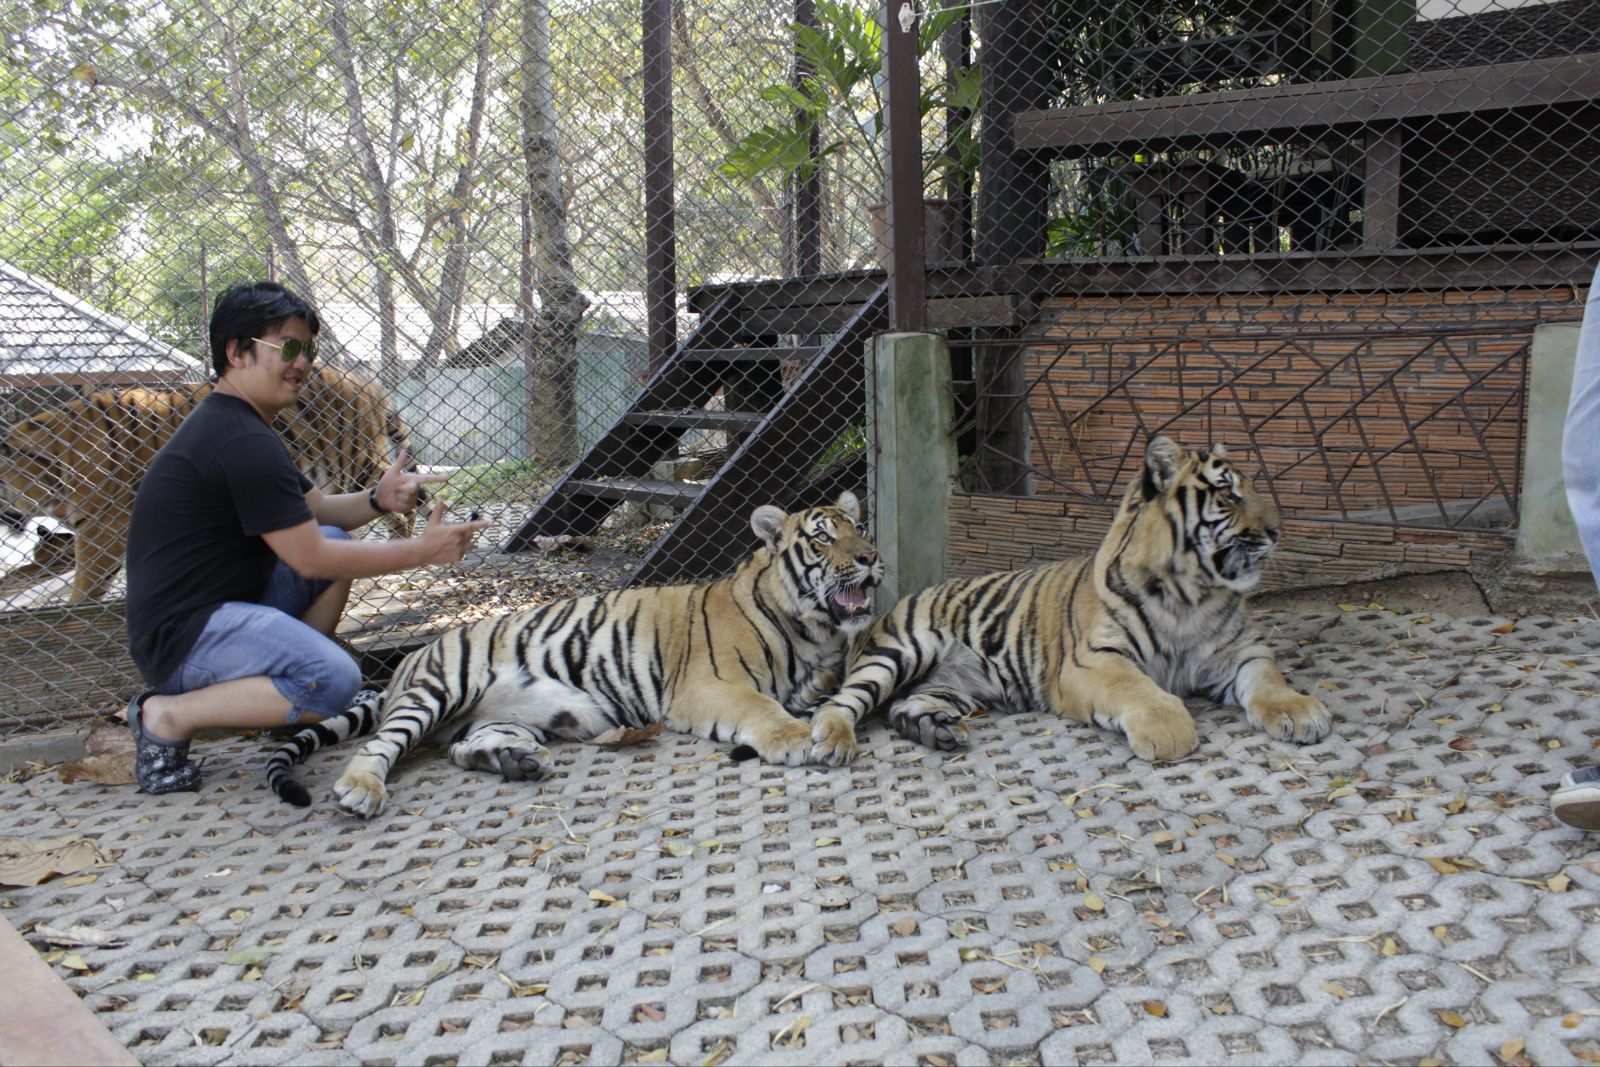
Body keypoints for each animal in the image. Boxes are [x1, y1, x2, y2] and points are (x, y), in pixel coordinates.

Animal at [265, 495, 889, 819]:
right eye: (822, 537)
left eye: (860, 526)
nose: (871, 555)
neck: (812, 628)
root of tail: (405, 663)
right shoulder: (707, 685)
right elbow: (761, 707)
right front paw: (793, 737)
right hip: (441, 689)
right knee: (380, 745)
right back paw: (360, 790)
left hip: (504, 716)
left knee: (464, 747)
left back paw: (516, 762)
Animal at [806, 435, 1331, 767]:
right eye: (1227, 494)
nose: (1276, 530)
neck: (1192, 595)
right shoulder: (1095, 660)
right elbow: (1140, 689)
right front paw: (1168, 730)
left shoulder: (1240, 651)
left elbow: (1267, 678)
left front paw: (1299, 712)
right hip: (899, 653)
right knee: (842, 702)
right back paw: (831, 743)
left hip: (951, 684)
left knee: (904, 706)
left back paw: (937, 731)